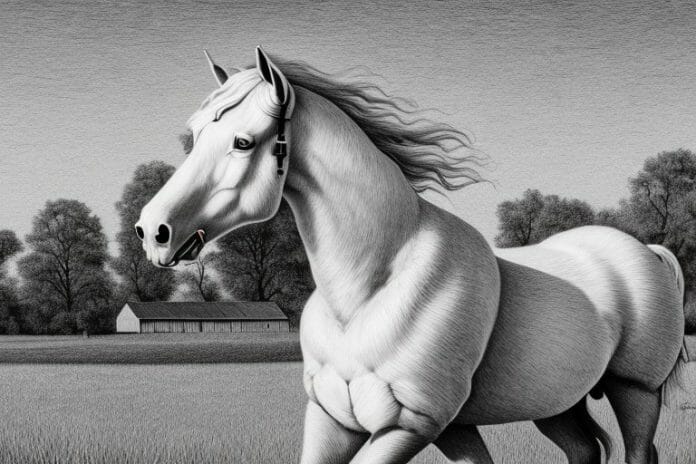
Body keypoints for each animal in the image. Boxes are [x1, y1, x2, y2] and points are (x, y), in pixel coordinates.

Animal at [135, 47, 687, 464]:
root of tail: (646, 250)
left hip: (636, 393)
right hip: (557, 403)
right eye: (194, 135)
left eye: (243, 142)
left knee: (638, 451)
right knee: (583, 451)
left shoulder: (410, 426)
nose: (153, 232)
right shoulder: (351, 423)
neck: (366, 292)